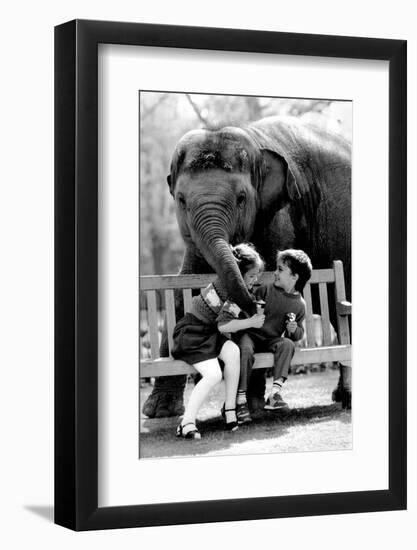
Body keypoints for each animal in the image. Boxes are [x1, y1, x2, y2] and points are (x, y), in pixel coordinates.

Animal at [141, 115, 350, 418]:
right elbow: (181, 294)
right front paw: (158, 411)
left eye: (241, 198)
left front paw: (251, 404)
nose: (238, 252)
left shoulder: (280, 215)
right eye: (181, 200)